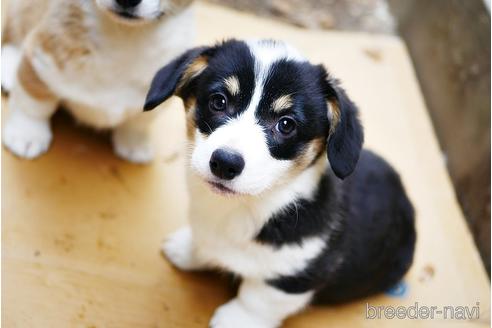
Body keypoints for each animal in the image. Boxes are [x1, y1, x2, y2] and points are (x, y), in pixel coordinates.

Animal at [2, 0, 194, 161]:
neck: (124, 36)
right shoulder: (40, 60)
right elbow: (33, 104)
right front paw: (27, 134)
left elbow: (139, 122)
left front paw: (134, 143)